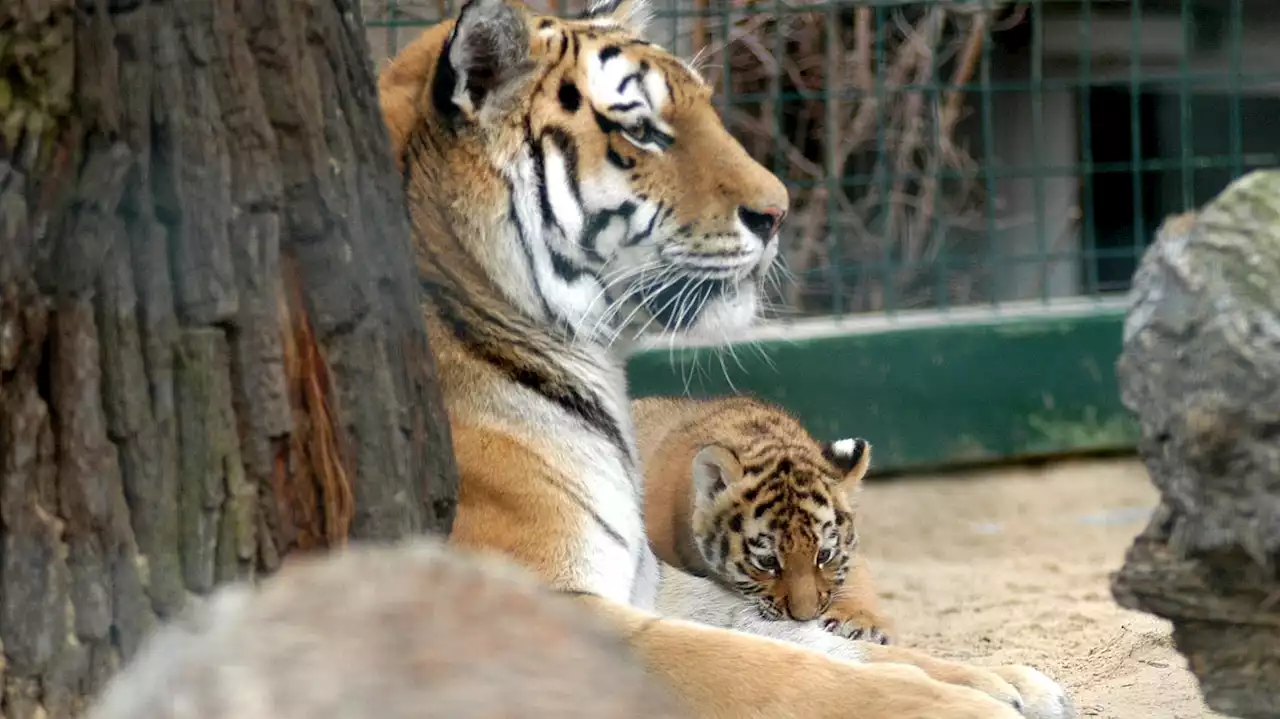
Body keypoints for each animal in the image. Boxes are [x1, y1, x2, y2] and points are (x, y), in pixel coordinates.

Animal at [376, 0, 1070, 711]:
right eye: (643, 131)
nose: (779, 212)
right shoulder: (548, 603)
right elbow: (770, 664)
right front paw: (960, 704)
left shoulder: (652, 577)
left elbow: (793, 635)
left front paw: (1008, 679)